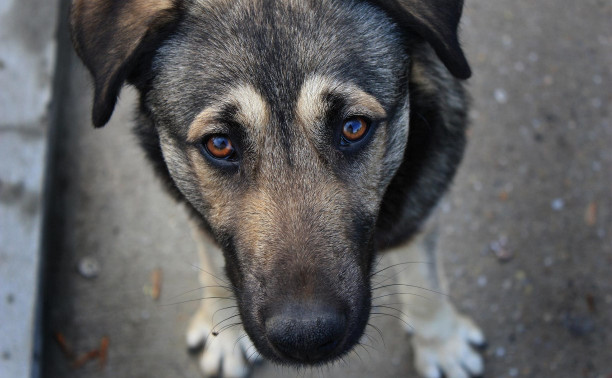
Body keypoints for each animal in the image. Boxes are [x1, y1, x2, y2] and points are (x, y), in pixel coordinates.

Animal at [69, 1, 486, 376]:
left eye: (353, 127)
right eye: (219, 144)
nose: (307, 338)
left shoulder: (422, 199)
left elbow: (425, 281)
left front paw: (442, 344)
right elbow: (213, 263)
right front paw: (224, 332)